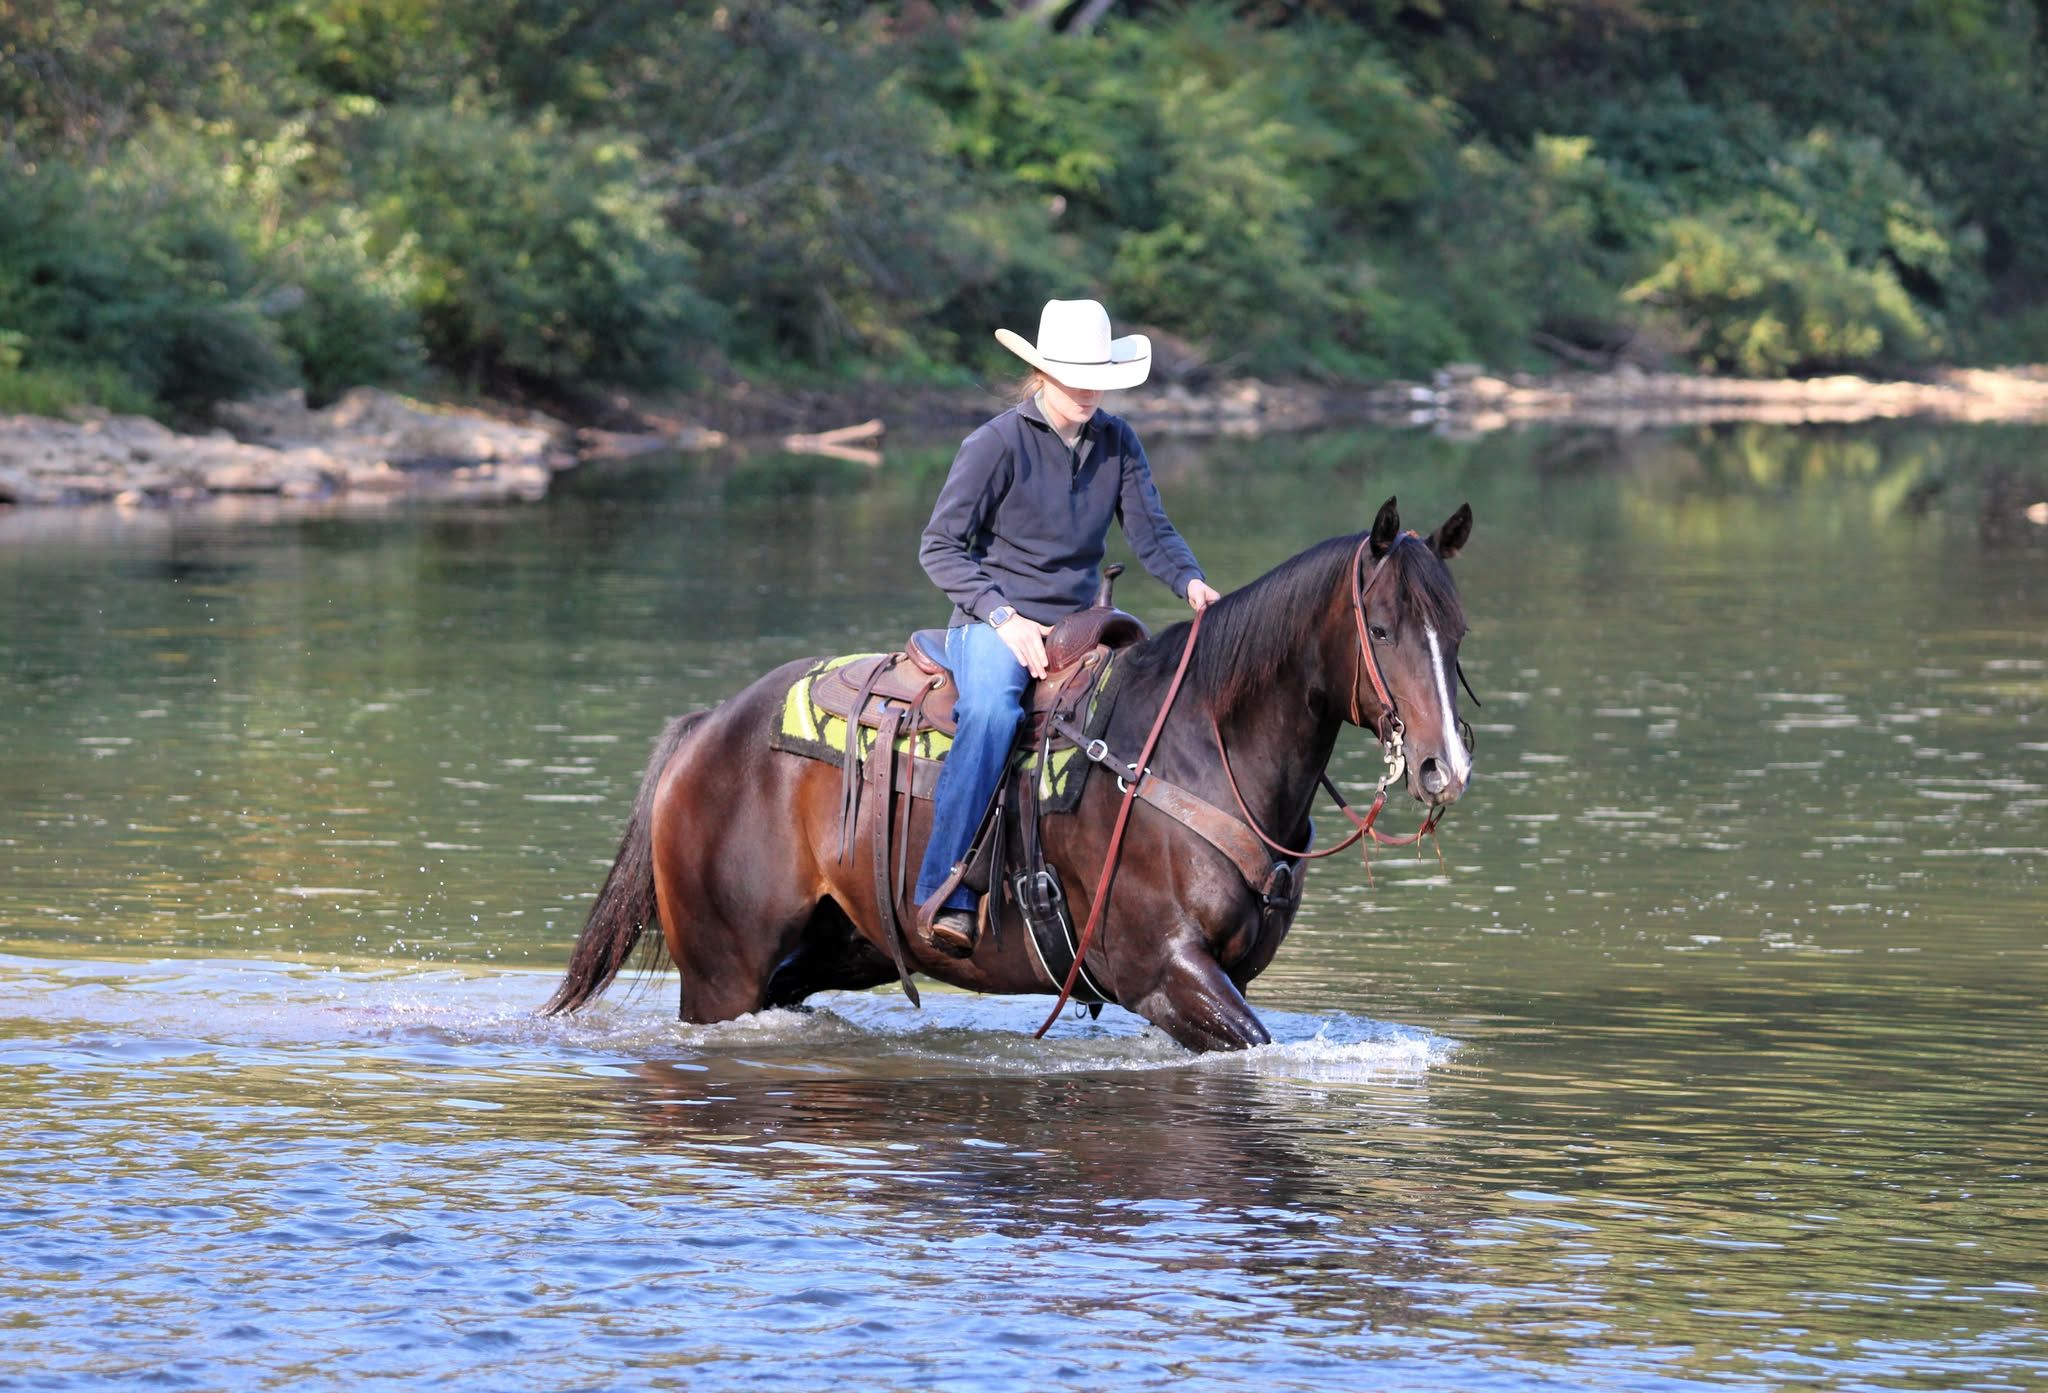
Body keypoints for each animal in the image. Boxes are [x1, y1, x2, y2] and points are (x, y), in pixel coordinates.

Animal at [544, 497, 1474, 1052]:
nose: (1445, 766)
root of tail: (706, 729)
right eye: (1381, 628)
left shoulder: (1218, 978)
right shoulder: (1167, 972)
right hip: (719, 973)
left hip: (832, 948)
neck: (1199, 752)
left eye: (1457, 630)